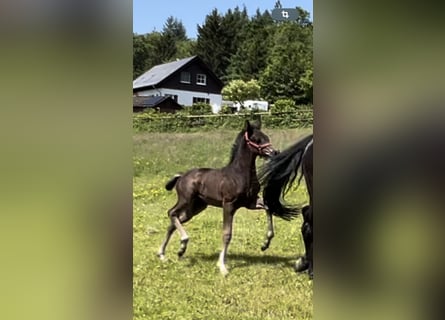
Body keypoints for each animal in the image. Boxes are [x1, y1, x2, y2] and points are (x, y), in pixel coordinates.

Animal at [158, 120, 276, 276]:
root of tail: (181, 176)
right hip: (185, 200)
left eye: (266, 137)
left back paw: (169, 252)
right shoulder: (229, 205)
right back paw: (180, 243)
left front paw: (265, 244)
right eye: (256, 139)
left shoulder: (250, 202)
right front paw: (222, 267)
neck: (239, 174)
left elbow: (269, 208)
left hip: (196, 207)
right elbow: (227, 234)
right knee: (171, 213)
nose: (274, 152)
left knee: (174, 222)